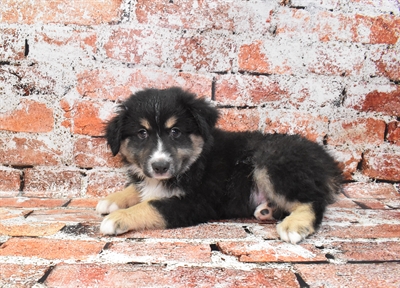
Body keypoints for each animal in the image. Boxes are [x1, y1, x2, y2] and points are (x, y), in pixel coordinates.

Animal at [95, 87, 342, 243]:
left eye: (175, 132)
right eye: (142, 133)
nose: (160, 167)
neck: (195, 162)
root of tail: (325, 159)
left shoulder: (197, 202)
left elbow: (151, 205)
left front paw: (118, 218)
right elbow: (137, 189)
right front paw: (111, 200)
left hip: (271, 162)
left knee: (314, 201)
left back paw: (294, 225)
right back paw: (268, 210)